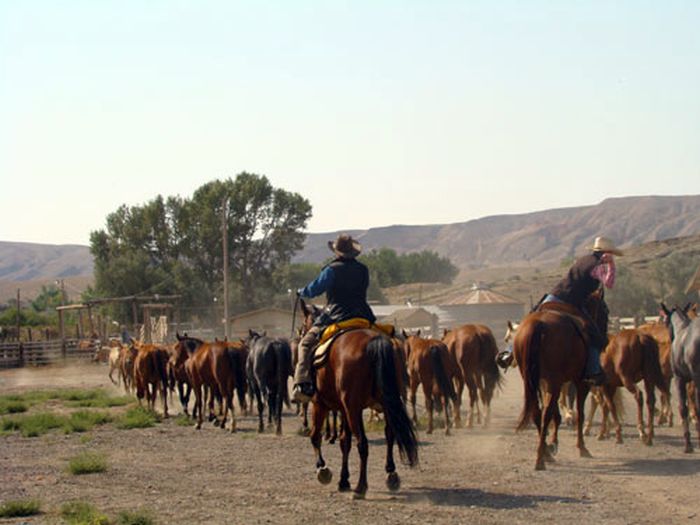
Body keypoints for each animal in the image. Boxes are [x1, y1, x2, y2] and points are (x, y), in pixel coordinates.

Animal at [300, 296, 418, 498]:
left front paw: (323, 470)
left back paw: (361, 487)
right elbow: (344, 441)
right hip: (387, 403)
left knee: (362, 443)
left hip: (353, 408)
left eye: (302, 326)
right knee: (390, 434)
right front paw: (343, 480)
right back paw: (391, 475)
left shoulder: (320, 403)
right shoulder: (344, 408)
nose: (300, 334)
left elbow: (315, 436)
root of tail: (375, 342)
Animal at [516, 292, 608, 468]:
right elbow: (580, 414)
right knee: (545, 414)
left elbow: (556, 413)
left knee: (538, 412)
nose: (605, 339)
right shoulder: (581, 383)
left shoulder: (546, 384)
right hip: (556, 382)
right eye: (605, 311)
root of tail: (538, 325)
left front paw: (553, 443)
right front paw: (581, 447)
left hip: (532, 382)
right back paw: (540, 459)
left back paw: (545, 453)